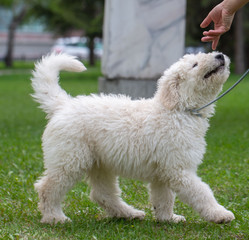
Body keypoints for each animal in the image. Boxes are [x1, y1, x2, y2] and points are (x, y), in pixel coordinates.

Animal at [31, 51, 235, 224]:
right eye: (194, 64)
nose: (219, 55)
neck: (179, 109)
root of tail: (63, 105)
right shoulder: (179, 169)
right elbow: (201, 192)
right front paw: (220, 214)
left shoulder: (163, 171)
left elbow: (164, 198)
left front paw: (168, 218)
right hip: (69, 160)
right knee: (47, 188)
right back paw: (55, 218)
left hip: (100, 163)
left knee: (102, 194)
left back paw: (129, 213)